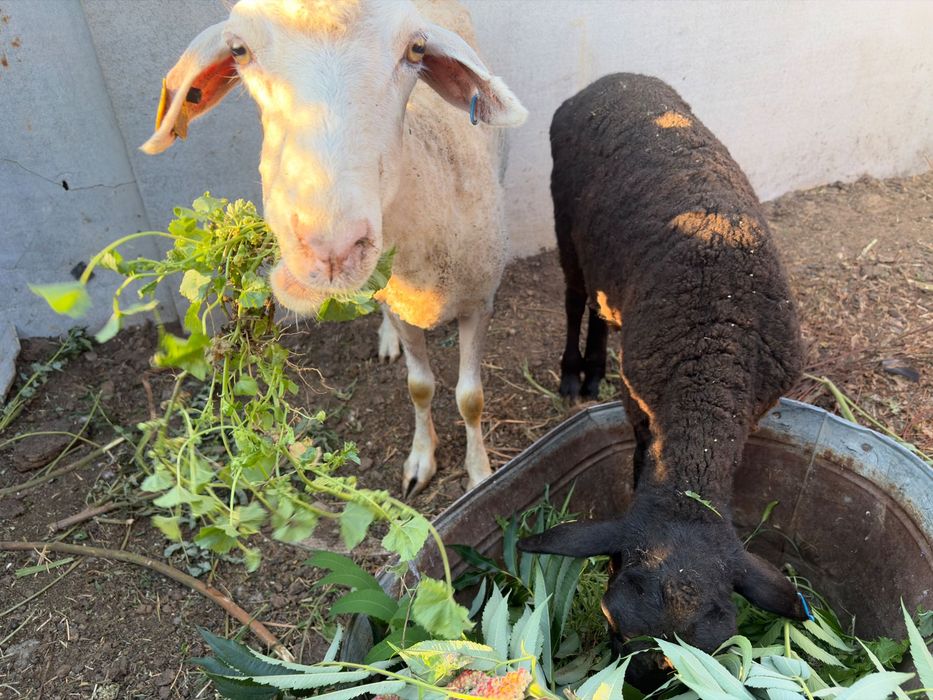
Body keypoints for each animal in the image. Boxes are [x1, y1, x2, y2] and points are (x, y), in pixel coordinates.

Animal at [140, 0, 527, 497]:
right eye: (239, 50)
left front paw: (480, 473)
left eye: (417, 49)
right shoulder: (402, 304)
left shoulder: (480, 303)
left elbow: (470, 398)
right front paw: (421, 459)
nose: (330, 249)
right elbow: (419, 386)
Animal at [519, 73, 807, 682]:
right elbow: (636, 460)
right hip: (565, 220)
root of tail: (614, 79)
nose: (634, 685)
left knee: (600, 305)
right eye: (608, 616)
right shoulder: (642, 399)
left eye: (715, 650)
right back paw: (573, 376)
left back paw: (595, 370)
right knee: (576, 296)